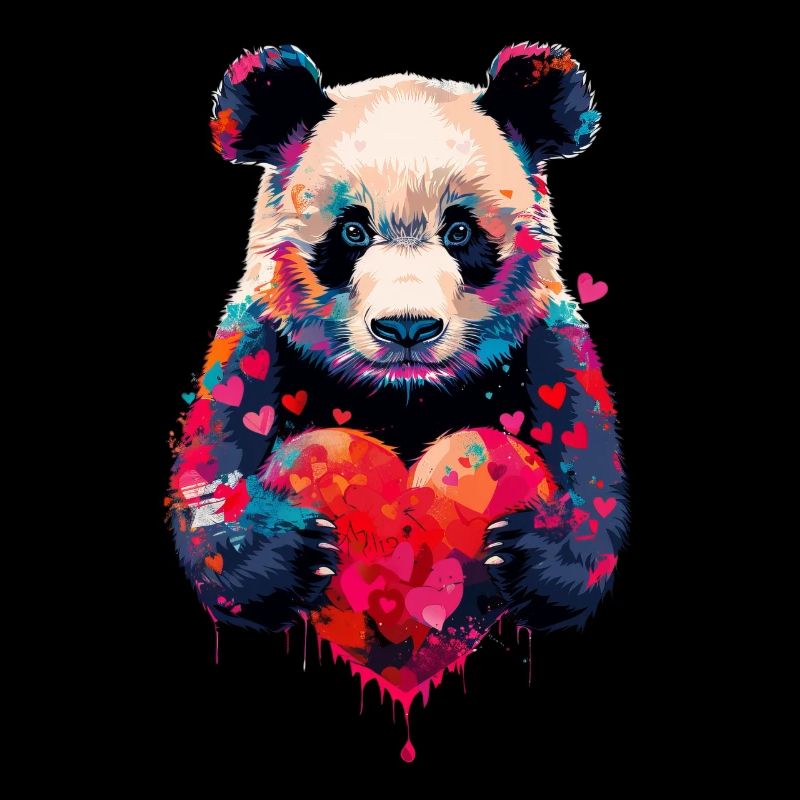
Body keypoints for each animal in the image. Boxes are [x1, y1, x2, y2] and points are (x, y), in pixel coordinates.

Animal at [170, 42, 628, 701]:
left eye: (460, 231)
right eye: (352, 230)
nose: (406, 328)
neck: (406, 396)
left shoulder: (546, 346)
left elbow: (592, 471)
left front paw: (523, 556)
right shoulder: (259, 348)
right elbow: (208, 477)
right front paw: (295, 555)